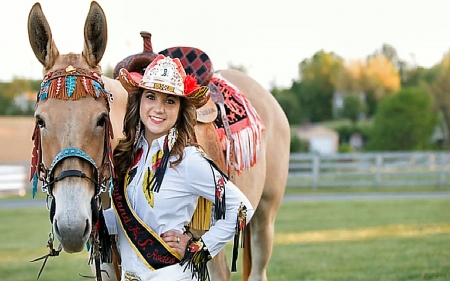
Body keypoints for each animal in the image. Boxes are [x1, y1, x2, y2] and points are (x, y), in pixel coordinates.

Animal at [28, 1, 290, 278]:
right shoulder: (107, 259)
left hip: (264, 219)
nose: (72, 226)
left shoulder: (208, 256)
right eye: (40, 120)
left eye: (101, 119)